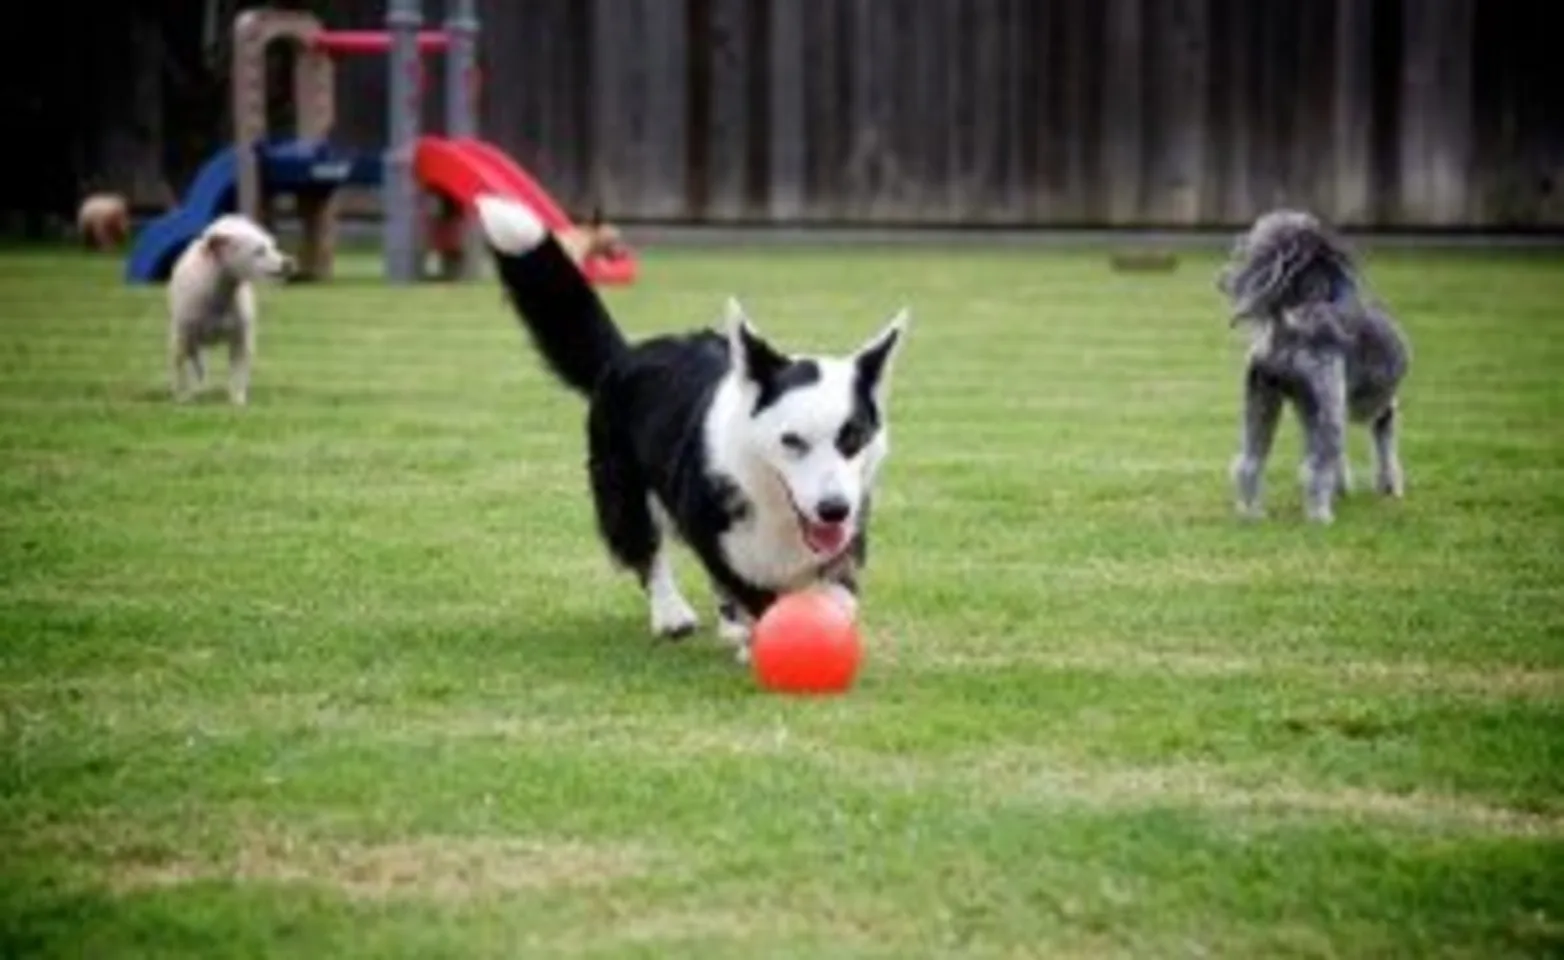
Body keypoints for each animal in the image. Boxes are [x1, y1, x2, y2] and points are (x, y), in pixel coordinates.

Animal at [168, 215, 294, 406]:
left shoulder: (241, 337)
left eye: (272, 245)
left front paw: (237, 400)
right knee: (196, 363)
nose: (288, 263)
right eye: (259, 250)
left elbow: (238, 370)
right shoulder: (184, 336)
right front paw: (183, 397)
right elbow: (184, 365)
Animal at [481, 195, 913, 662]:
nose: (833, 509)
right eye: (791, 441)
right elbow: (753, 593)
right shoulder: (712, 534)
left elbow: (837, 591)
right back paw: (672, 615)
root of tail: (626, 354)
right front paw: (763, 639)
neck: (770, 500)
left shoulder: (850, 529)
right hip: (622, 486)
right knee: (646, 549)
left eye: (853, 438)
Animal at [1213, 211, 1413, 525]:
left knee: (1250, 462)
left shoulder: (1311, 411)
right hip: (1327, 407)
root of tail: (1285, 329)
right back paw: (1320, 517)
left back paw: (1252, 514)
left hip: (1261, 401)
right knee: (1316, 467)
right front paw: (1390, 488)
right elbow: (1385, 451)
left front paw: (1342, 489)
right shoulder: (1381, 411)